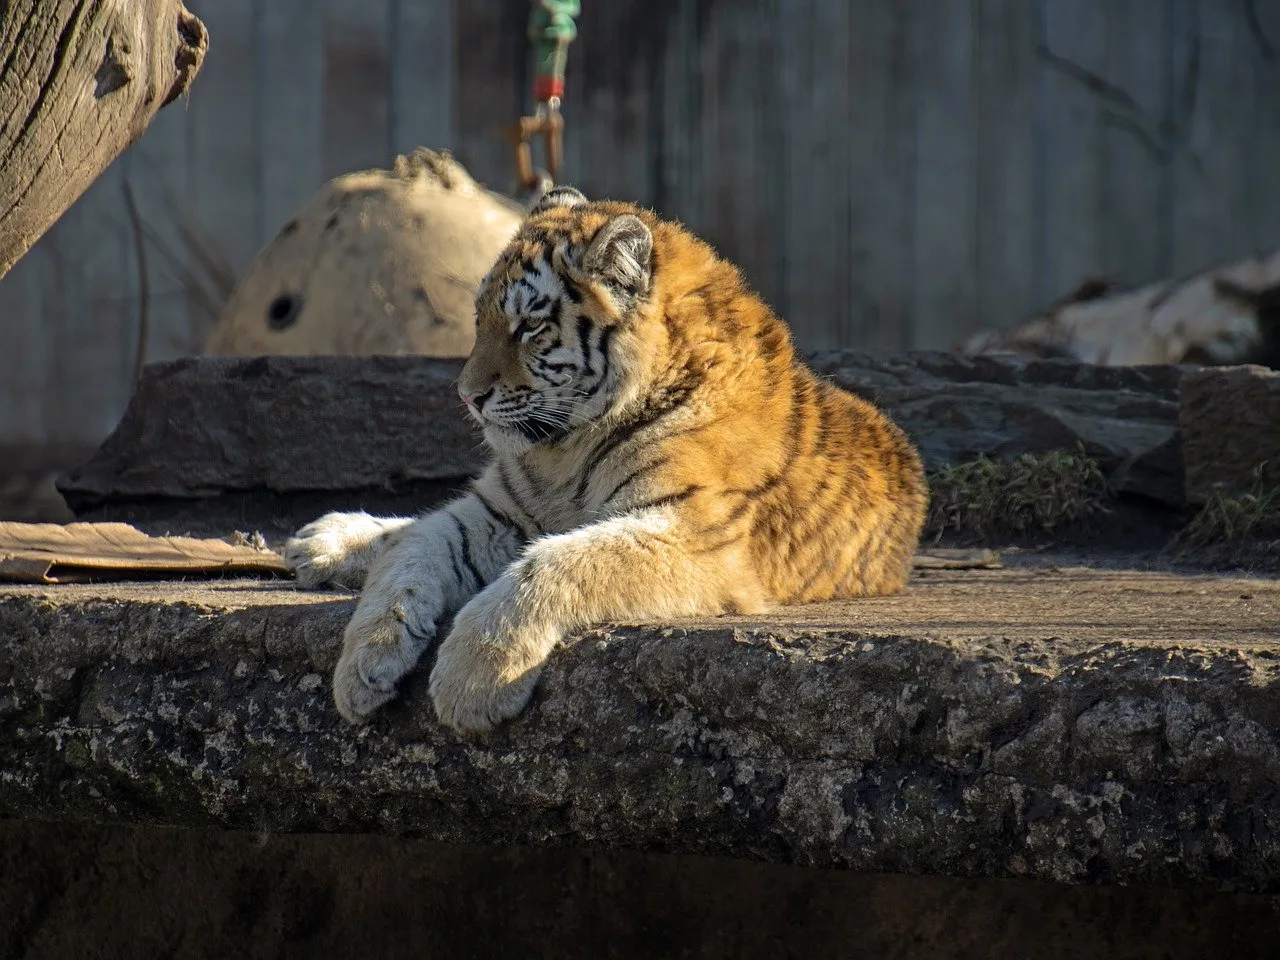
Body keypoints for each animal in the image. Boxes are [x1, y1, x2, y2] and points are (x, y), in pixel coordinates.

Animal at [283, 186, 928, 735]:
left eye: (529, 325)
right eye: (479, 318)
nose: (467, 396)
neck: (564, 451)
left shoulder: (692, 534)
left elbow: (558, 560)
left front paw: (474, 678)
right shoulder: (495, 512)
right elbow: (414, 548)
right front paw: (362, 667)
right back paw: (321, 541)